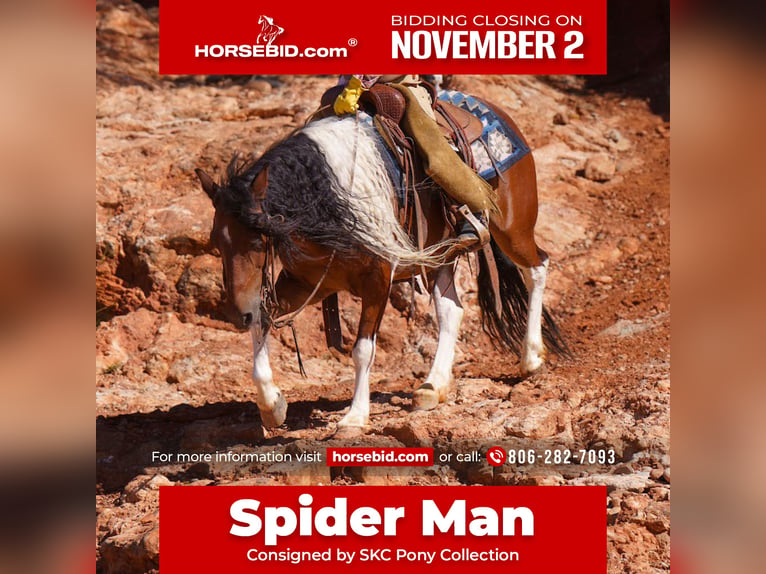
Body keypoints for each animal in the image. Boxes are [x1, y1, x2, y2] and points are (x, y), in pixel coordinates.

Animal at [195, 95, 567, 433]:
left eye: (258, 240)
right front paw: (271, 405)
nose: (237, 314)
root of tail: (495, 111)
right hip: (440, 255)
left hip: (513, 230)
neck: (328, 199)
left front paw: (354, 417)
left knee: (537, 268)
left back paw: (532, 357)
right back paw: (433, 386)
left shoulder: (378, 278)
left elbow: (362, 349)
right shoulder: (305, 282)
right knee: (451, 309)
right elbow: (263, 321)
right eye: (217, 244)